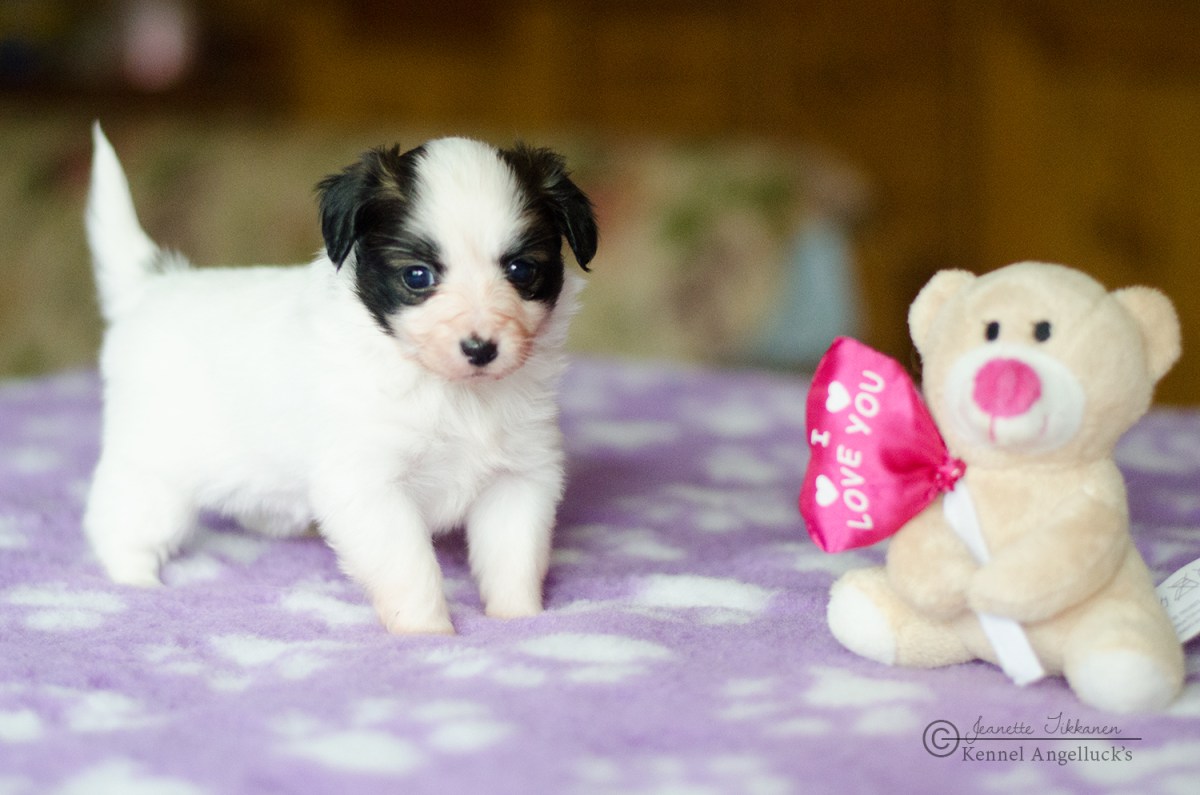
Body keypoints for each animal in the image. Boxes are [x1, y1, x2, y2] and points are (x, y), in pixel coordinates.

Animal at [83, 124, 597, 634]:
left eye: (521, 269)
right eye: (417, 276)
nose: (480, 349)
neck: (452, 394)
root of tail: (150, 288)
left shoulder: (520, 477)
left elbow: (514, 557)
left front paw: (519, 619)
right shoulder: (369, 485)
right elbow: (411, 569)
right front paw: (428, 633)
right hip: (153, 469)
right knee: (119, 523)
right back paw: (135, 584)